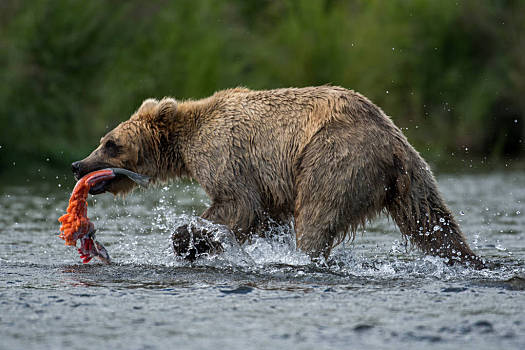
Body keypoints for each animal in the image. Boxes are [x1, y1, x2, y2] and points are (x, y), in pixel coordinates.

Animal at [71, 85, 486, 268]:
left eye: (110, 143)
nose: (78, 165)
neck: (185, 144)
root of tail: (390, 141)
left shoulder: (227, 154)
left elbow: (237, 205)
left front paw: (190, 241)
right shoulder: (270, 187)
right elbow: (265, 217)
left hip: (334, 156)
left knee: (317, 214)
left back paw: (305, 256)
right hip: (411, 175)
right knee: (431, 221)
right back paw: (467, 258)